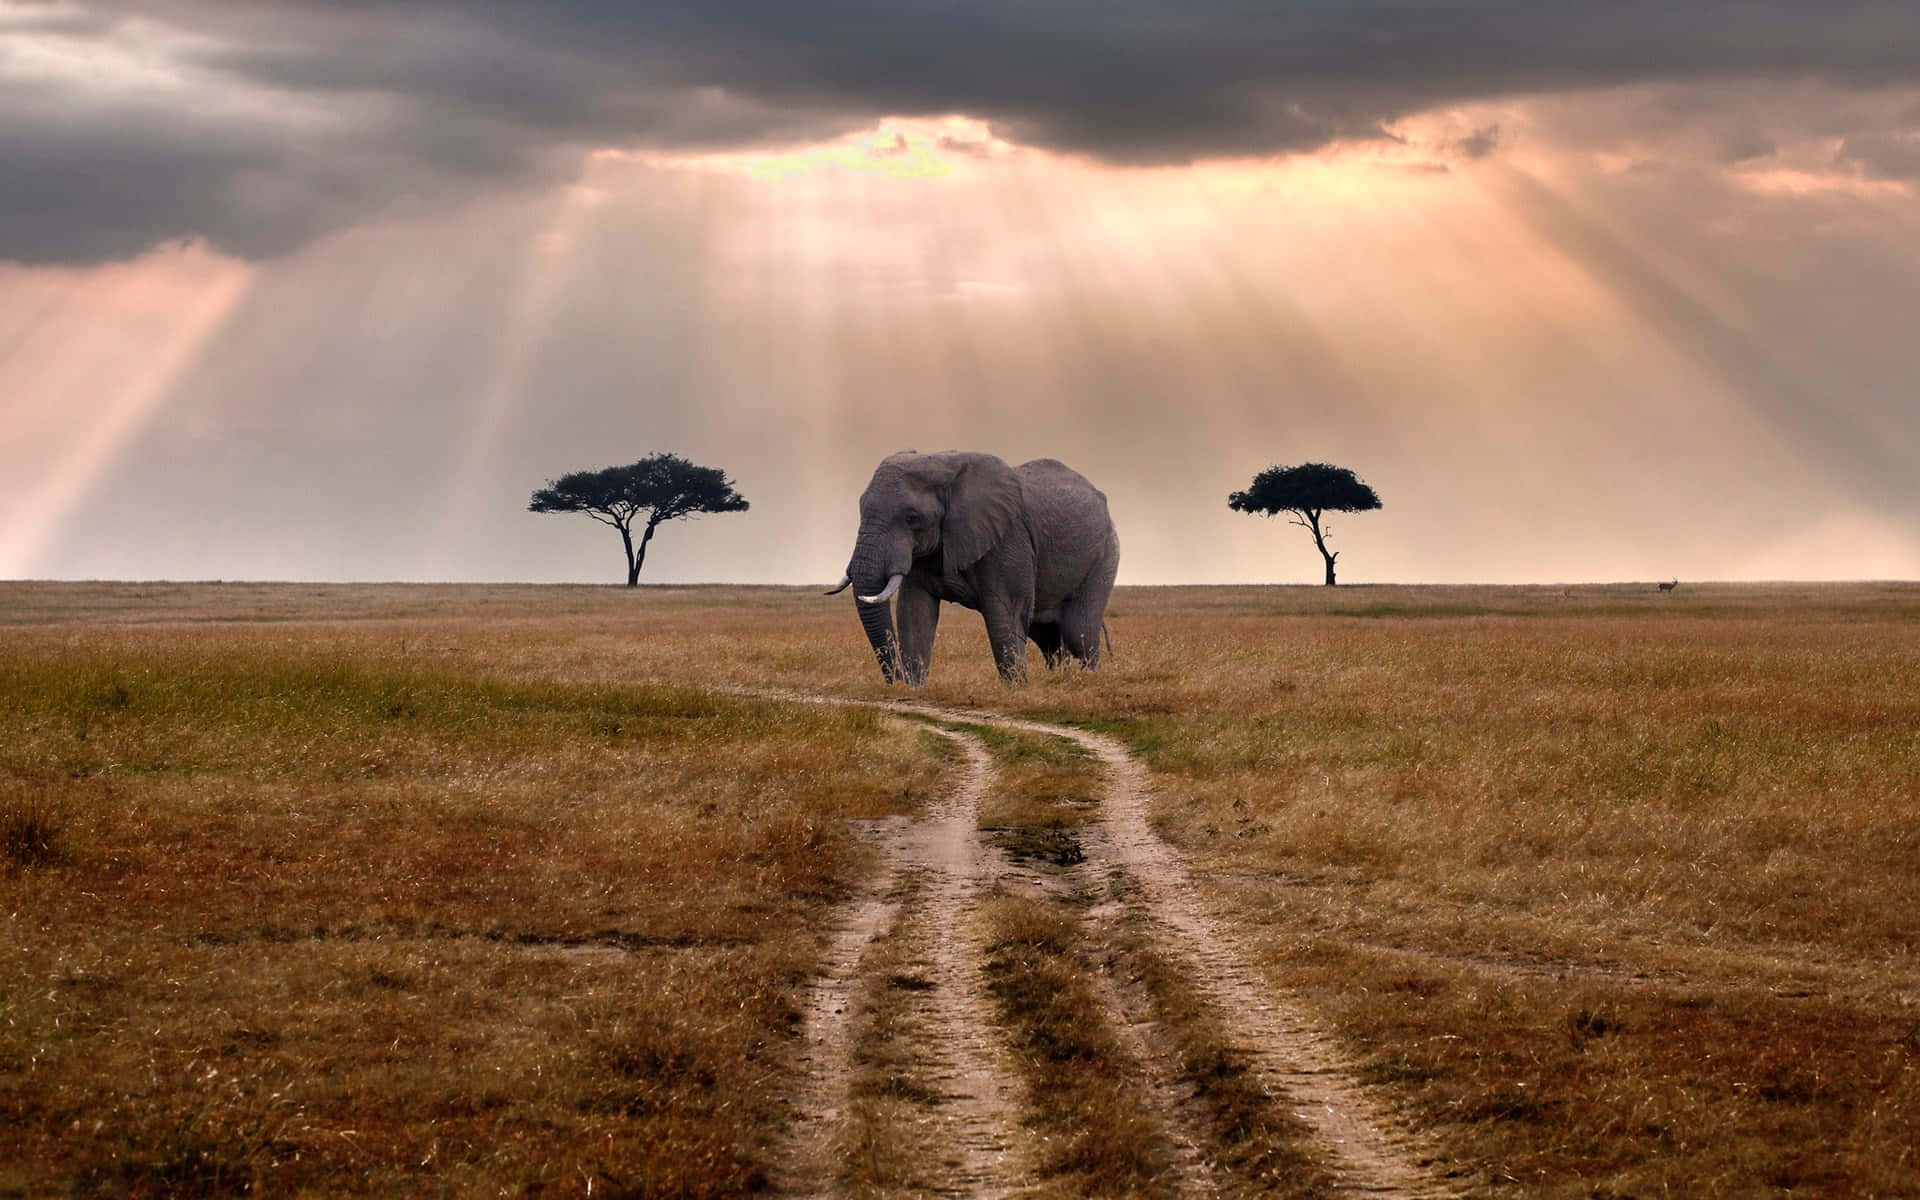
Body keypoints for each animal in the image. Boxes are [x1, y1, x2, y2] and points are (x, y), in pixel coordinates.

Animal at [827, 450, 1120, 685]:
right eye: (861, 509)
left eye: (912, 517)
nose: (897, 681)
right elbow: (914, 612)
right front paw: (915, 688)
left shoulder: (1007, 539)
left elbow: (1004, 614)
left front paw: (1016, 690)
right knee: (1048, 637)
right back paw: (1060, 681)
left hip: (1104, 555)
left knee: (1078, 632)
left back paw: (1087, 682)